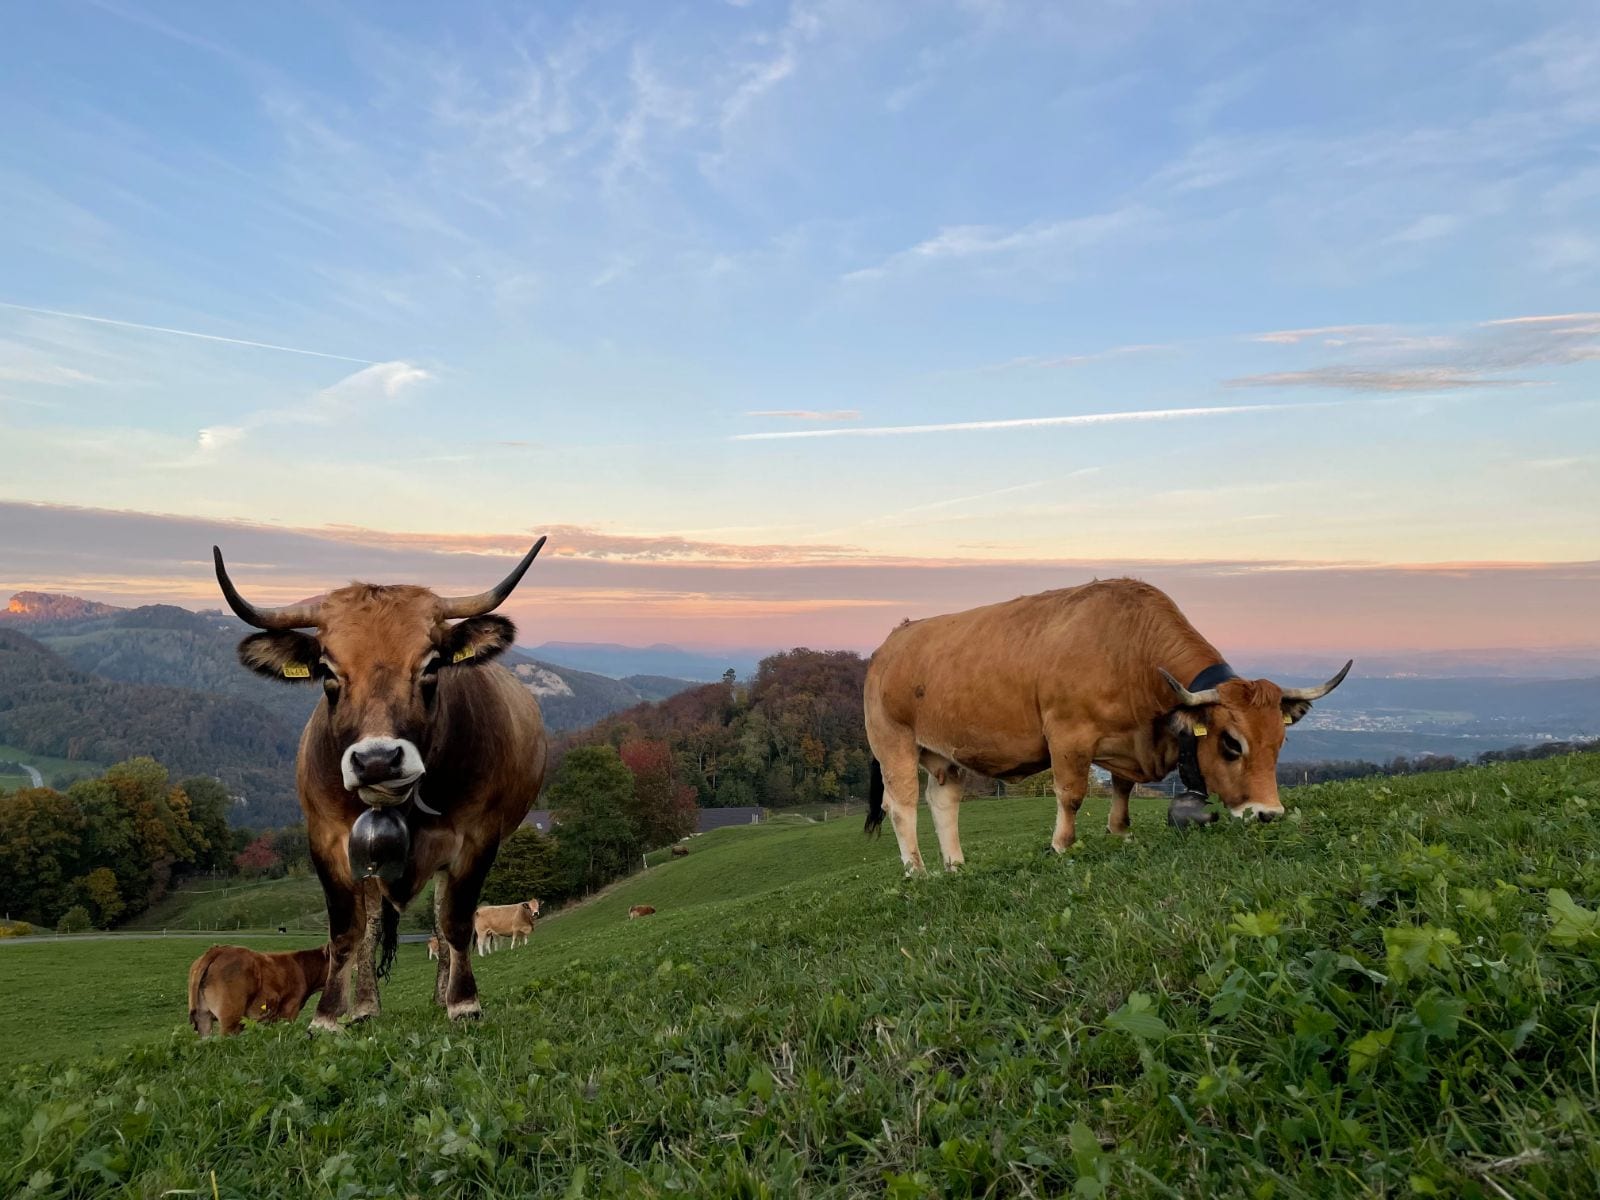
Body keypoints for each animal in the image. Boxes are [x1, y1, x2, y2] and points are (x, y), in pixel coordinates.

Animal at [214, 539, 549, 1028]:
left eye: (432, 665)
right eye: (327, 671)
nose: (376, 761)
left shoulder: (478, 837)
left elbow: (455, 921)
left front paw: (463, 1001)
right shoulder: (326, 840)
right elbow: (346, 931)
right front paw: (329, 1015)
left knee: (439, 918)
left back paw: (441, 994)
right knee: (372, 926)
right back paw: (365, 1006)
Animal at [863, 578, 1350, 872]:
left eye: (1280, 741)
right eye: (1232, 743)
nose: (1269, 814)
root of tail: (893, 641)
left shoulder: (1125, 741)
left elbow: (1122, 788)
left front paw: (1121, 833)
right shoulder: (1068, 735)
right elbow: (1072, 794)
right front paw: (1062, 845)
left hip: (943, 753)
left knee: (942, 800)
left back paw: (955, 866)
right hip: (893, 741)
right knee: (902, 805)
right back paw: (918, 872)